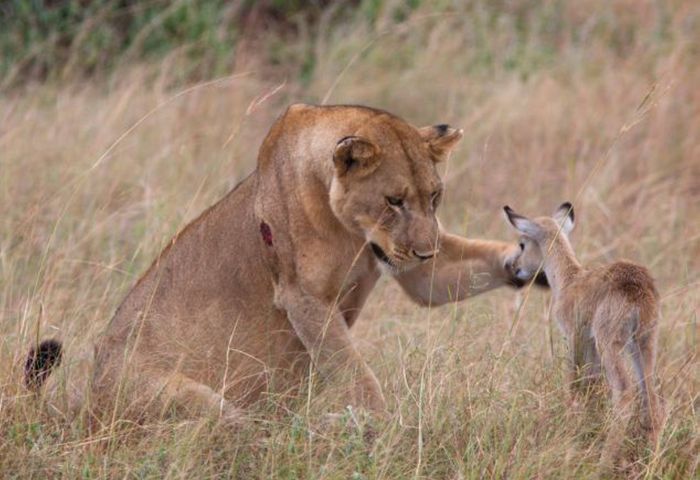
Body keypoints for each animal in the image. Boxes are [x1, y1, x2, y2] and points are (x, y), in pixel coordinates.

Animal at [504, 203, 660, 468]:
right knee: (652, 398)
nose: (514, 267)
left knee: (625, 393)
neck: (569, 279)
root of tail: (639, 288)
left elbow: (574, 383)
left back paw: (603, 464)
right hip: (643, 343)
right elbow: (591, 386)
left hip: (612, 344)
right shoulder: (591, 345)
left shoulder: (575, 337)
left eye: (522, 243)